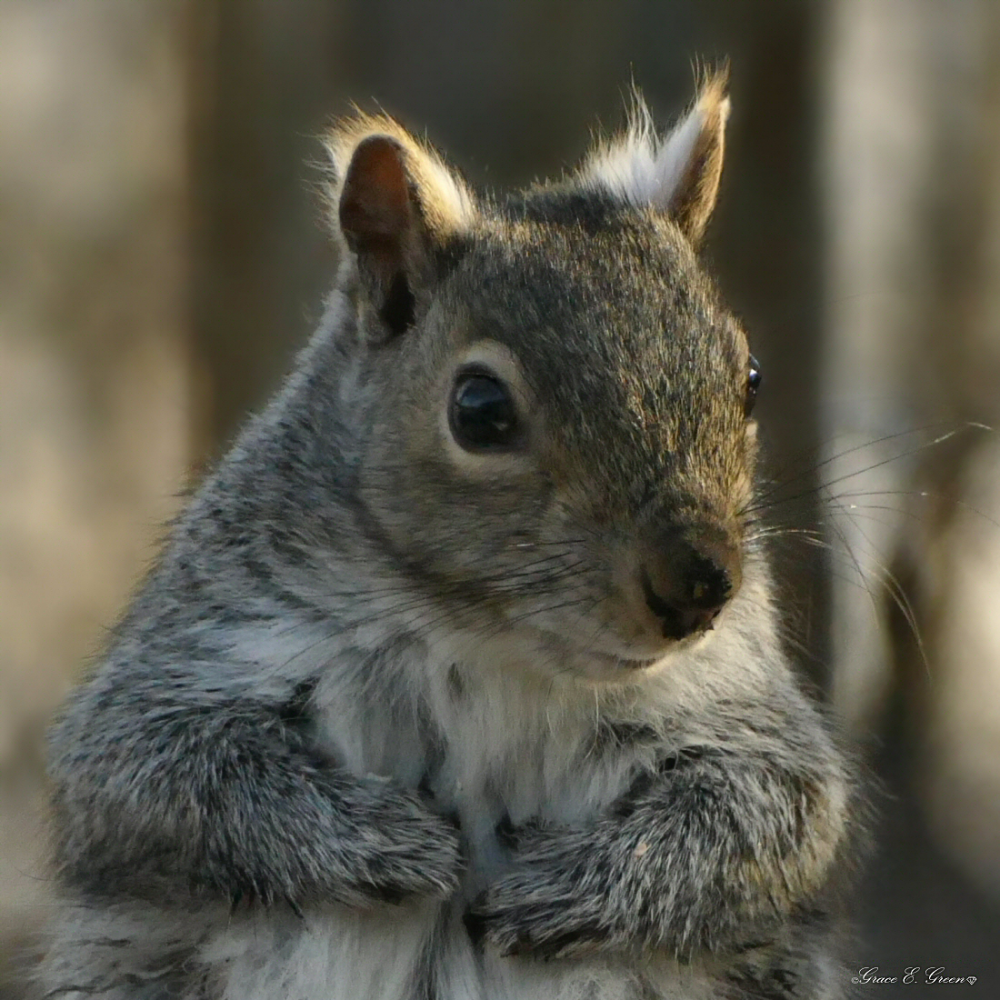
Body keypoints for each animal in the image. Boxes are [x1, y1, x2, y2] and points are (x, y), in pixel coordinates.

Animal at [39, 74, 852, 1000]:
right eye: (479, 409)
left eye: (748, 376)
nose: (700, 583)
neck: (496, 645)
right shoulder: (204, 647)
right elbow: (156, 774)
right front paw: (393, 840)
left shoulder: (739, 707)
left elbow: (767, 817)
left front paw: (565, 886)